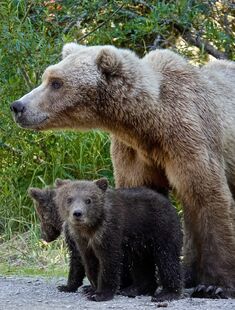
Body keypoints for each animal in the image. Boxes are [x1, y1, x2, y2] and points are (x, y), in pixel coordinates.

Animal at [10, 43, 235, 298]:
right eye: (46, 77)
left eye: (56, 82)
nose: (18, 106)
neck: (149, 124)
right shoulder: (133, 151)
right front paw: (134, 282)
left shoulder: (189, 137)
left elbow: (206, 195)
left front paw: (215, 285)